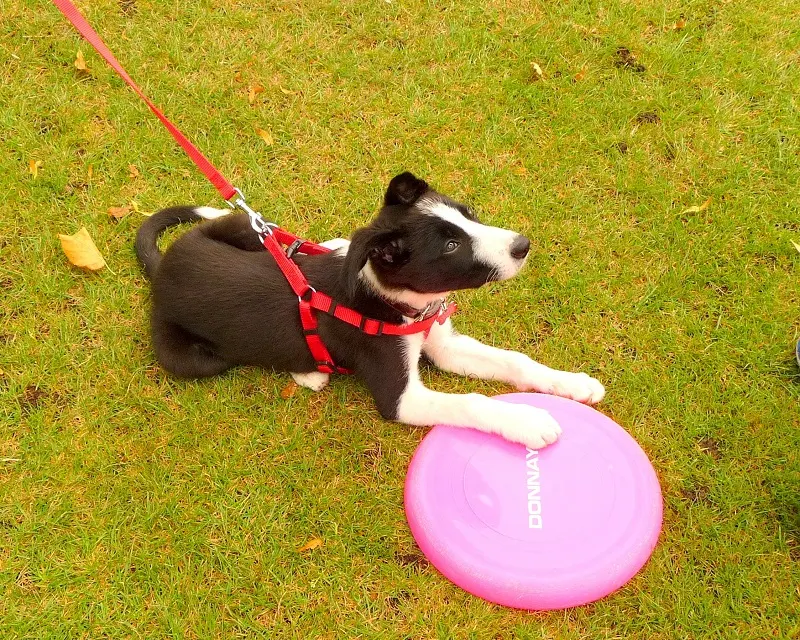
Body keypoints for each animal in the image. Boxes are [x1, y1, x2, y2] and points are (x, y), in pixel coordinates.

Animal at [134, 172, 604, 448]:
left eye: (468, 214)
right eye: (452, 245)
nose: (523, 245)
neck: (399, 302)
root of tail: (164, 269)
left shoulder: (444, 345)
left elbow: (515, 361)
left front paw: (574, 383)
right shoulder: (401, 398)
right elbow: (471, 403)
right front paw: (526, 420)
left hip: (246, 230)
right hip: (191, 359)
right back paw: (309, 372)